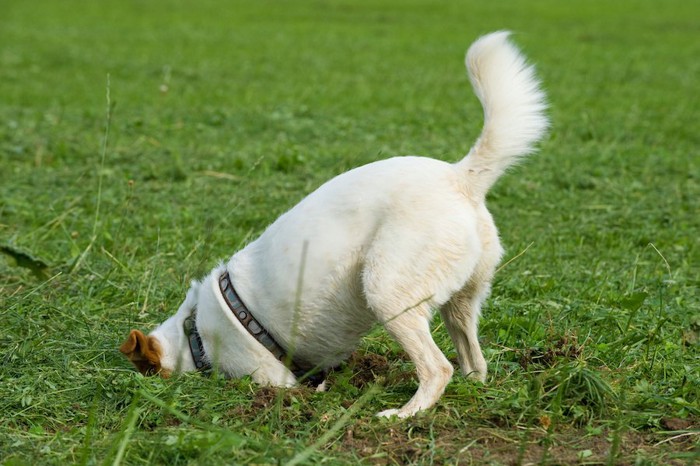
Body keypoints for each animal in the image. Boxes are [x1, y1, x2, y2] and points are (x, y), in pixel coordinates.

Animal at [119, 32, 548, 418]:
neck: (193, 333)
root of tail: (460, 176)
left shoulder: (271, 376)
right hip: (460, 304)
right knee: (474, 362)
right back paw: (471, 390)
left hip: (386, 292)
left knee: (438, 369)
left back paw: (403, 414)